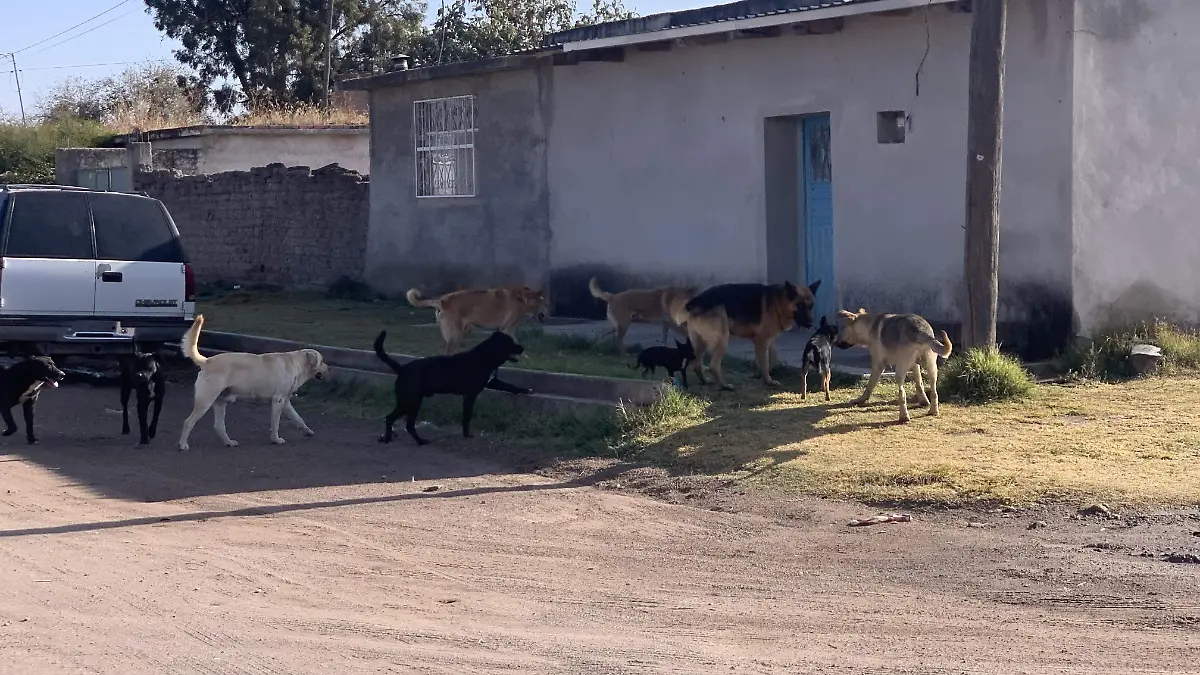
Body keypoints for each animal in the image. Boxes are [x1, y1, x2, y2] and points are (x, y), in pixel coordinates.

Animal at [175, 314, 331, 449]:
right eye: (322, 361)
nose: (329, 368)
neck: (296, 363)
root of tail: (207, 361)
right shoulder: (278, 400)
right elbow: (275, 424)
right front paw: (275, 439)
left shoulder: (285, 402)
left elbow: (298, 418)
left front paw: (307, 431)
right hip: (206, 401)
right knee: (188, 422)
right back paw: (183, 444)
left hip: (220, 402)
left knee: (218, 426)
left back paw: (229, 442)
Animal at [369, 329, 530, 444]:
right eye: (510, 342)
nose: (523, 348)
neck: (486, 356)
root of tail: (402, 369)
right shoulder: (470, 396)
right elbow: (467, 417)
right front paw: (467, 435)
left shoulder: (493, 382)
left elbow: (509, 385)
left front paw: (525, 390)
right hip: (411, 402)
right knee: (402, 423)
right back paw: (417, 441)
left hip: (407, 402)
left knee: (393, 419)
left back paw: (389, 437)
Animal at [408, 282, 549, 353]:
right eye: (546, 304)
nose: (548, 315)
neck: (524, 299)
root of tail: (442, 300)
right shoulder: (506, 328)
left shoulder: (506, 330)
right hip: (456, 333)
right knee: (450, 350)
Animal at [686, 279, 816, 389]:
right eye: (800, 305)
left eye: (811, 306)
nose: (811, 324)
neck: (779, 302)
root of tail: (697, 300)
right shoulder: (762, 340)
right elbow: (765, 361)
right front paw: (767, 381)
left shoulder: (767, 340)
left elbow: (772, 357)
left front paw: (760, 374)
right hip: (722, 340)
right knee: (713, 366)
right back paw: (724, 386)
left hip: (701, 342)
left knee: (696, 365)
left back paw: (705, 381)